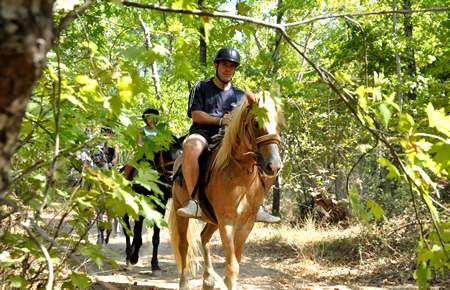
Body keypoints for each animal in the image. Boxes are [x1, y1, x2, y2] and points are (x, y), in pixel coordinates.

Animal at [119, 135, 186, 276]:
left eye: (181, 153)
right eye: (164, 151)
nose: (172, 178)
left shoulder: (160, 210)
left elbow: (155, 238)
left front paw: (155, 266)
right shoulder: (140, 208)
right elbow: (138, 237)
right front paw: (134, 258)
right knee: (127, 230)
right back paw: (128, 257)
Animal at [169, 87, 284, 288]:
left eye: (278, 125)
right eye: (256, 123)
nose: (274, 166)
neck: (241, 178)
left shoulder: (246, 224)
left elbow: (235, 262)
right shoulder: (227, 222)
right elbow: (232, 267)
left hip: (212, 219)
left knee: (204, 237)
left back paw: (208, 280)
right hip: (181, 211)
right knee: (184, 245)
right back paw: (184, 283)